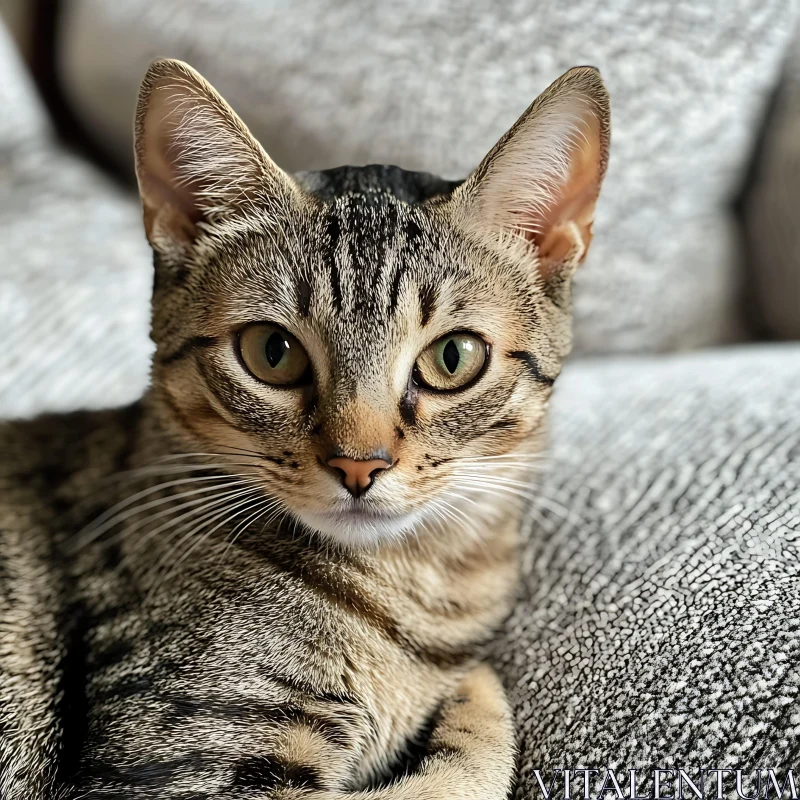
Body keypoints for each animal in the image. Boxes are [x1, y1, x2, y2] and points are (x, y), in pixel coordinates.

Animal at [0, 57, 608, 800]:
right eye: (272, 352)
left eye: (453, 358)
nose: (359, 464)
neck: (416, 586)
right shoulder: (184, 762)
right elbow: (459, 771)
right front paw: (474, 693)